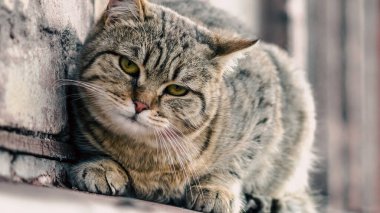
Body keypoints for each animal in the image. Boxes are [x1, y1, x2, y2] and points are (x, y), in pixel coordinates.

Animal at [67, 0, 318, 212]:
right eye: (128, 65)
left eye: (177, 90)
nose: (140, 104)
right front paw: (103, 165)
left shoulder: (264, 107)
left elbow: (236, 161)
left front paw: (216, 187)